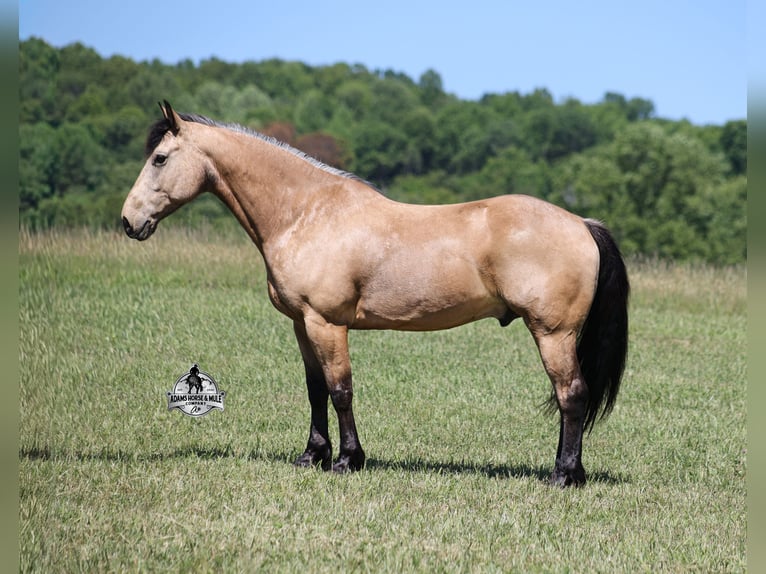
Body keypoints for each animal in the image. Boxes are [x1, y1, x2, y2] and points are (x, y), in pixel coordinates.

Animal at [122, 101, 629, 487]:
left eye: (160, 158)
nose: (129, 222)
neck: (308, 213)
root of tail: (582, 224)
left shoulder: (327, 323)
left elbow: (341, 389)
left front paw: (348, 460)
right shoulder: (301, 324)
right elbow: (315, 391)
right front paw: (312, 456)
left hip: (553, 333)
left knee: (572, 395)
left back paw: (563, 475)